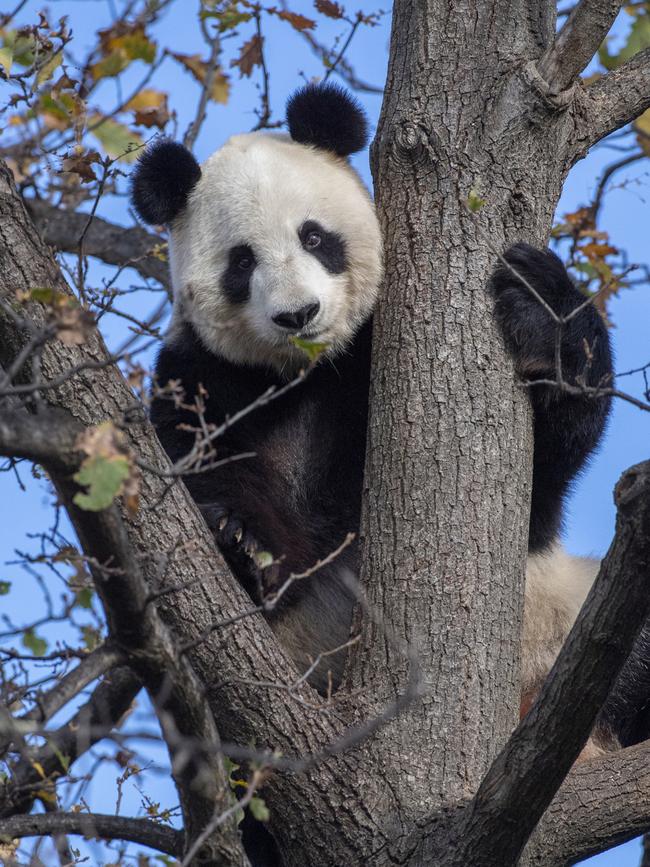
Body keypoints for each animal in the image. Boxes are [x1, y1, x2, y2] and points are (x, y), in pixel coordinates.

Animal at [130, 83, 624, 744]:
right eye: (242, 262)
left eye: (314, 237)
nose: (298, 314)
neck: (309, 371)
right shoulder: (200, 378)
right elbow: (198, 476)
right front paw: (241, 541)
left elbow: (542, 478)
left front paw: (539, 302)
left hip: (555, 620)